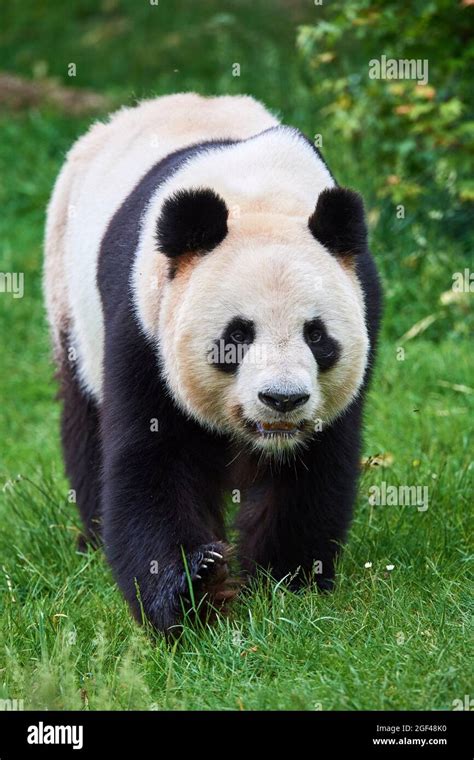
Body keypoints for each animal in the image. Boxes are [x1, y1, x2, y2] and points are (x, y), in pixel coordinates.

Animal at [44, 90, 382, 636]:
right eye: (237, 335)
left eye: (317, 335)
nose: (282, 399)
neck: (260, 196)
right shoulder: (145, 321)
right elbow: (152, 460)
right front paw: (194, 585)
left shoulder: (362, 302)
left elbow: (314, 467)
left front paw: (285, 582)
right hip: (68, 297)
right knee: (84, 417)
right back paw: (91, 536)